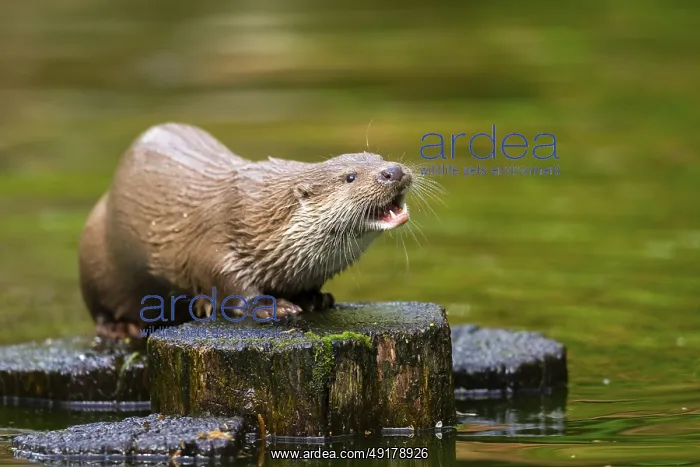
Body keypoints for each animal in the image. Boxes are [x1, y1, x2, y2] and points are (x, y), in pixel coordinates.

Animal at [78, 123, 416, 340]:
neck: (259, 223)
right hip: (94, 256)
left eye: (380, 158)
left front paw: (315, 299)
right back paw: (119, 329)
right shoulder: (214, 244)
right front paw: (273, 307)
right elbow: (227, 283)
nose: (393, 171)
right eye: (350, 177)